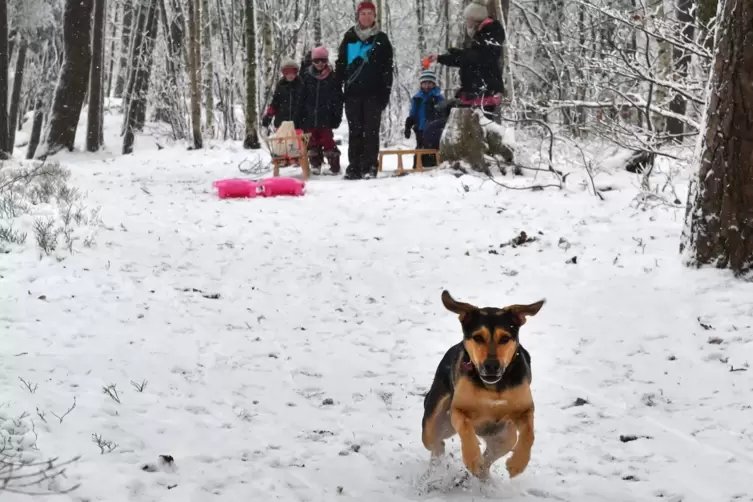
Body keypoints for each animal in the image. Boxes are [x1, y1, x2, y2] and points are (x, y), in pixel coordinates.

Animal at [424, 292, 540, 480]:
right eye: (478, 337)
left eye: (505, 338)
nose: (491, 365)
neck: (493, 387)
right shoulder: (458, 410)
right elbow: (466, 428)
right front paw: (472, 458)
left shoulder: (524, 409)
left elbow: (529, 434)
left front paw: (517, 464)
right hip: (433, 423)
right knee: (435, 444)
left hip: (504, 437)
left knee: (490, 457)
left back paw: (483, 474)